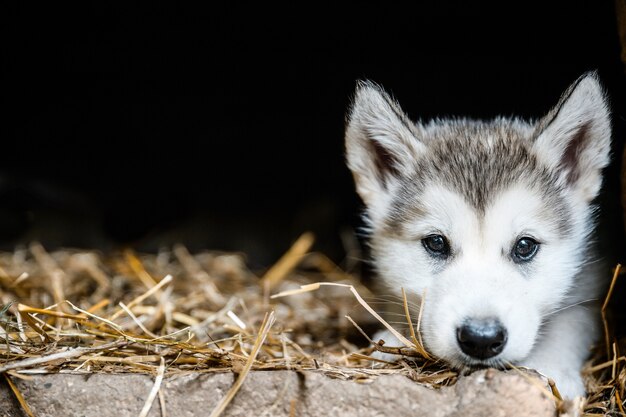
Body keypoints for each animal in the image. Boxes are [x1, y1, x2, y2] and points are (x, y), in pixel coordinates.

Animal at [342, 73, 608, 398]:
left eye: (525, 246)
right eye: (436, 243)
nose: (481, 338)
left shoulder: (589, 287)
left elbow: (570, 322)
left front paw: (552, 369)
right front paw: (391, 339)